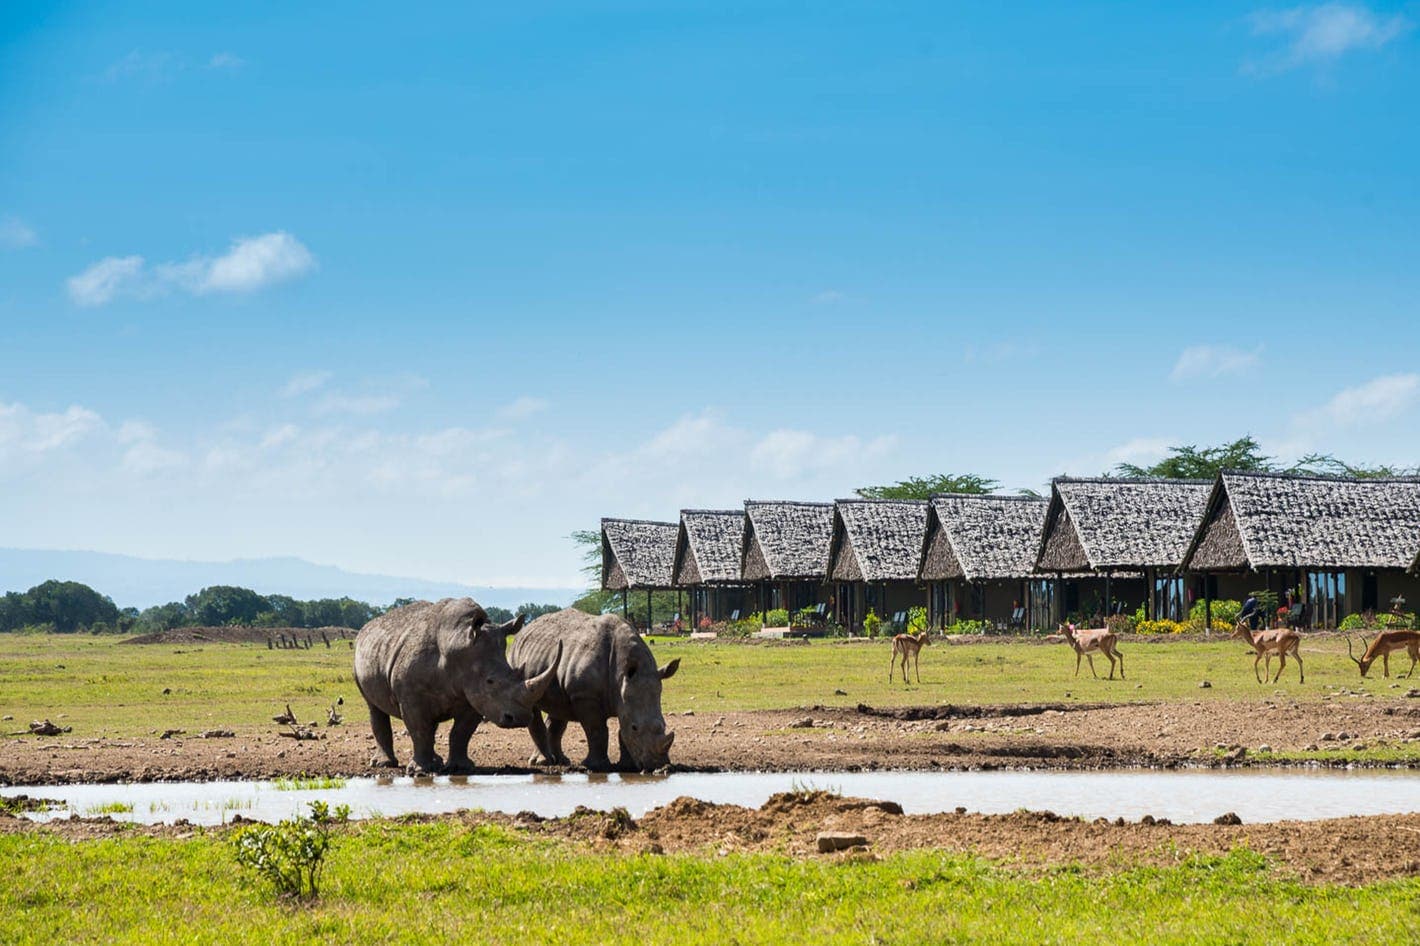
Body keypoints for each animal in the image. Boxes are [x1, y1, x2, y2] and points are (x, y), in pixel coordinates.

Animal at [353, 598, 560, 774]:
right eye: (490, 681)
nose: (520, 719)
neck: (457, 647)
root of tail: (368, 626)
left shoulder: (474, 696)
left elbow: (461, 732)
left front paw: (460, 768)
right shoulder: (411, 697)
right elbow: (419, 729)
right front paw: (421, 770)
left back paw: (435, 762)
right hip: (359, 657)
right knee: (374, 708)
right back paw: (384, 764)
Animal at [507, 608, 680, 773]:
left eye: (664, 726)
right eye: (635, 727)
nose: (658, 765)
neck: (622, 676)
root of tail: (522, 632)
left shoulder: (624, 693)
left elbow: (621, 730)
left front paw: (627, 766)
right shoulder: (585, 695)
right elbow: (597, 730)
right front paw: (596, 766)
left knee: (558, 709)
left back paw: (560, 761)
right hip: (517, 663)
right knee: (530, 702)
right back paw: (543, 762)